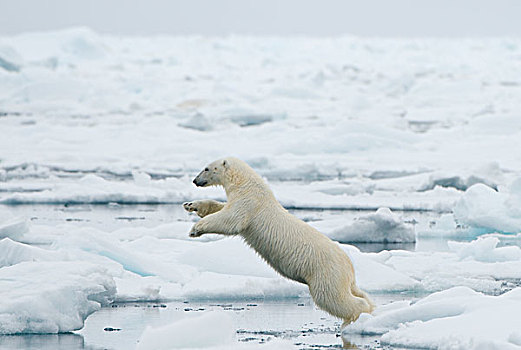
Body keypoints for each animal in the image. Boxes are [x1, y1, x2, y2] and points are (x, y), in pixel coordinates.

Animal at [183, 157, 374, 326]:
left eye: (207, 168)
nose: (195, 180)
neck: (246, 184)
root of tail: (349, 266)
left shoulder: (249, 202)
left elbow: (231, 220)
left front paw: (195, 228)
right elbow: (222, 208)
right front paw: (192, 205)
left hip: (325, 273)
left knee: (332, 298)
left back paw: (357, 316)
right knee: (356, 293)